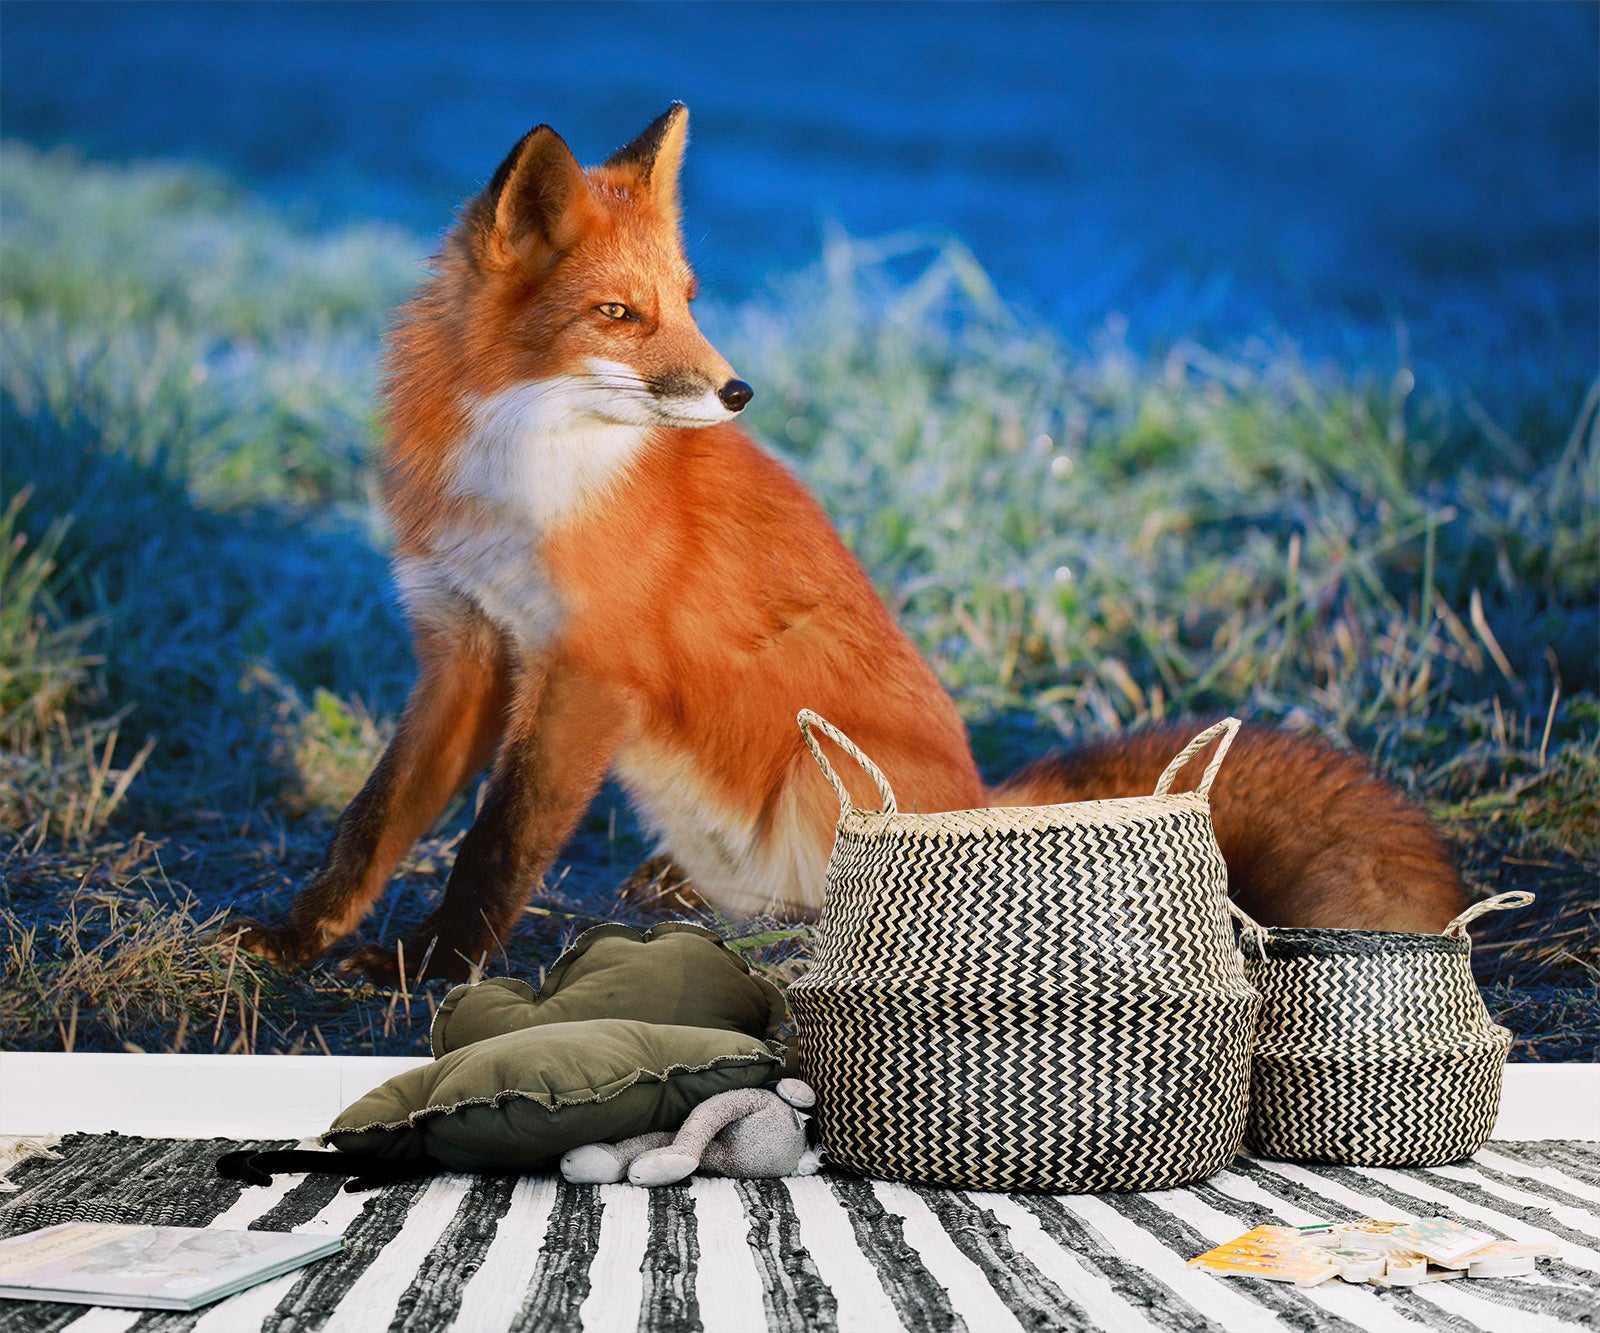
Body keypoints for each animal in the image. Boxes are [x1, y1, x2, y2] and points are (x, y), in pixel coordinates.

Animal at [232, 105, 1466, 983]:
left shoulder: (586, 671)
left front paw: (429, 968)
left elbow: (499, 844)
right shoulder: (465, 647)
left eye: (689, 297)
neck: (523, 472)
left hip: (809, 771)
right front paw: (301, 937)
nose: (737, 390)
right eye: (620, 315)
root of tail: (979, 800)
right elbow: (375, 818)